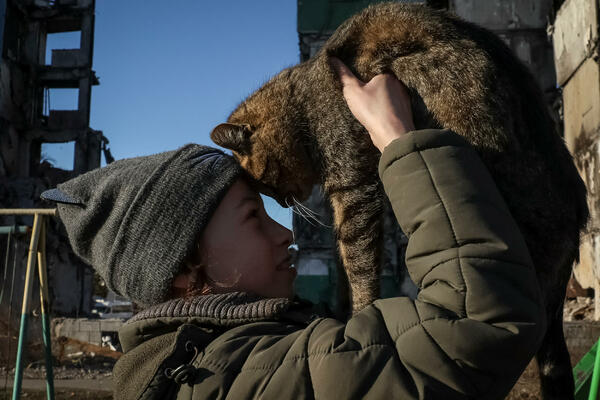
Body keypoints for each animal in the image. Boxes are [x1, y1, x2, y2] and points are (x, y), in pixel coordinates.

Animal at [210, 3, 584, 400]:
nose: (282, 204)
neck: (304, 104)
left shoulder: (354, 188)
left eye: (264, 186)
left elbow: (357, 265)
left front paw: (358, 315)